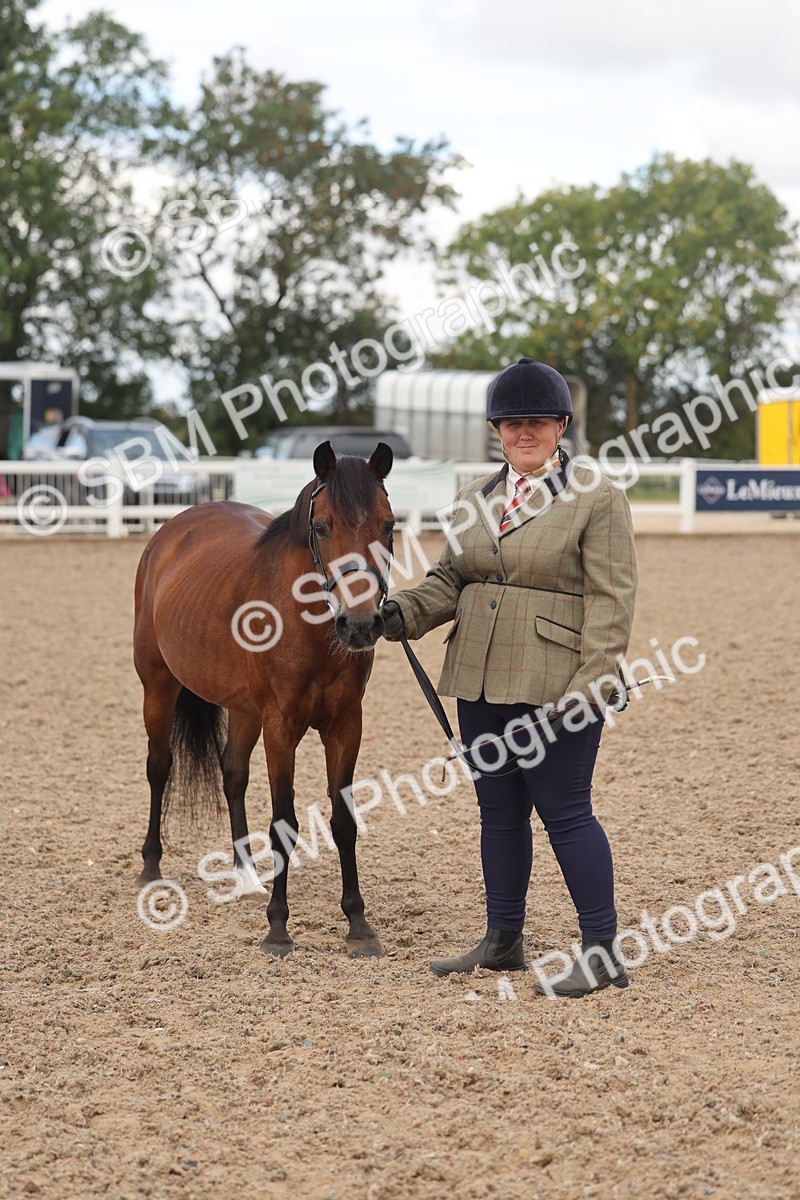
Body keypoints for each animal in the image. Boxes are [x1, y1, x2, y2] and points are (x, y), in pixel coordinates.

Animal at [133, 440, 395, 958]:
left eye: (388, 525)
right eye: (321, 526)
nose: (359, 625)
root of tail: (172, 532)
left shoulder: (345, 725)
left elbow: (343, 821)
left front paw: (358, 924)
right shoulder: (281, 726)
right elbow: (283, 822)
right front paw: (278, 926)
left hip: (243, 710)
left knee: (233, 773)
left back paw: (247, 873)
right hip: (158, 686)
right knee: (159, 766)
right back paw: (151, 866)